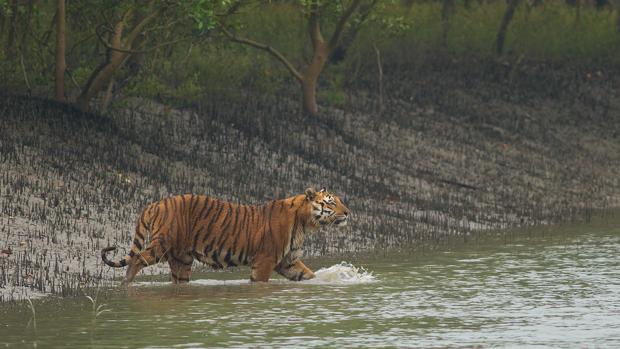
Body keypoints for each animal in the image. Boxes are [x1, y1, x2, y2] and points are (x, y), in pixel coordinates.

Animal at [101, 188, 348, 282]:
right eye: (331, 202)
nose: (348, 212)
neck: (305, 223)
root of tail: (156, 203)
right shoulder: (265, 260)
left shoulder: (288, 261)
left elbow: (309, 275)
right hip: (162, 245)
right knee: (136, 259)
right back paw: (126, 286)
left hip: (182, 259)